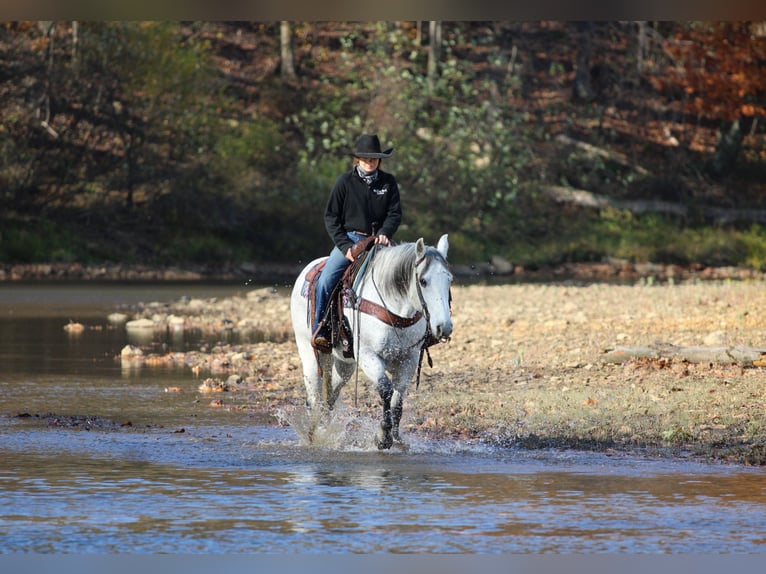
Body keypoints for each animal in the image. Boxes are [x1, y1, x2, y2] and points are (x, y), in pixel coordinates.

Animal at [290, 234, 453, 449]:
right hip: (309, 353)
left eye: (449, 280)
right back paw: (314, 436)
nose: (445, 327)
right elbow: (386, 390)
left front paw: (397, 439)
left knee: (331, 394)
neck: (394, 308)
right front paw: (383, 436)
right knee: (313, 397)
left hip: (344, 364)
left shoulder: (408, 360)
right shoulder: (368, 356)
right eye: (423, 281)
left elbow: (397, 400)